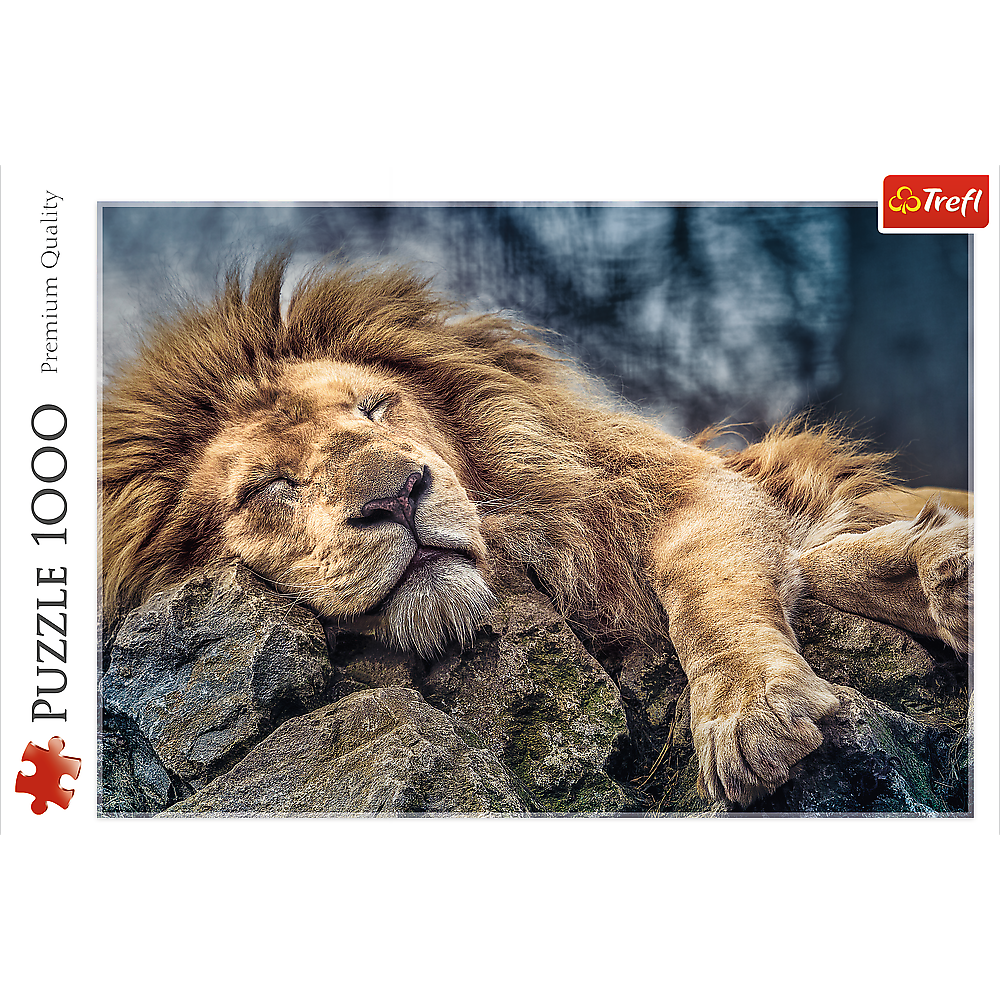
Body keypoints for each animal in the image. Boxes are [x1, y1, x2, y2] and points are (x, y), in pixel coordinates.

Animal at [101, 252, 972, 807]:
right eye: (269, 488)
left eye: (374, 409)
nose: (400, 495)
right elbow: (815, 561)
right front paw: (933, 571)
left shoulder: (686, 487)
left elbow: (710, 588)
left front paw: (751, 710)